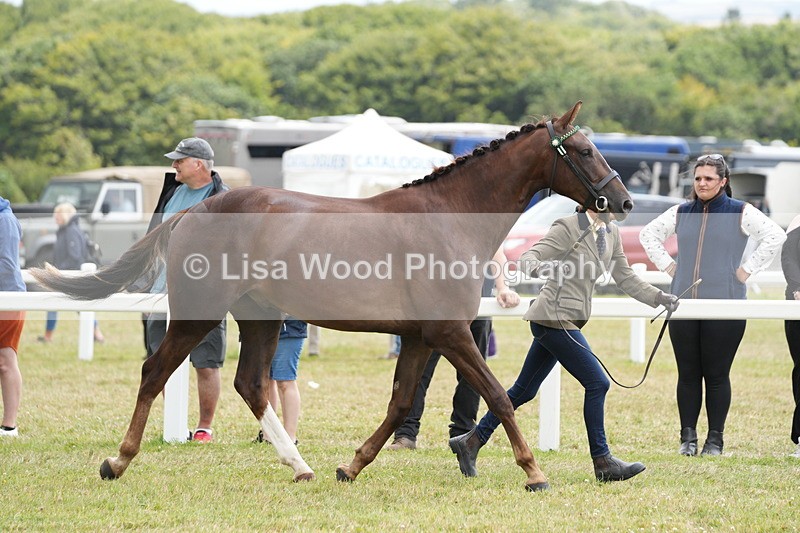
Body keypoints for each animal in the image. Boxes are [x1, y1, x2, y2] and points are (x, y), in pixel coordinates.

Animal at [31, 102, 632, 491]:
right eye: (584, 149)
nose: (623, 201)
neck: (448, 218)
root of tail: (193, 211)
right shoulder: (451, 333)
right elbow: (499, 396)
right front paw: (534, 472)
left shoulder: (421, 337)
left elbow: (400, 403)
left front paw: (352, 466)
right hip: (200, 313)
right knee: (156, 371)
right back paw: (118, 461)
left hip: (261, 317)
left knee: (250, 384)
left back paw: (302, 466)